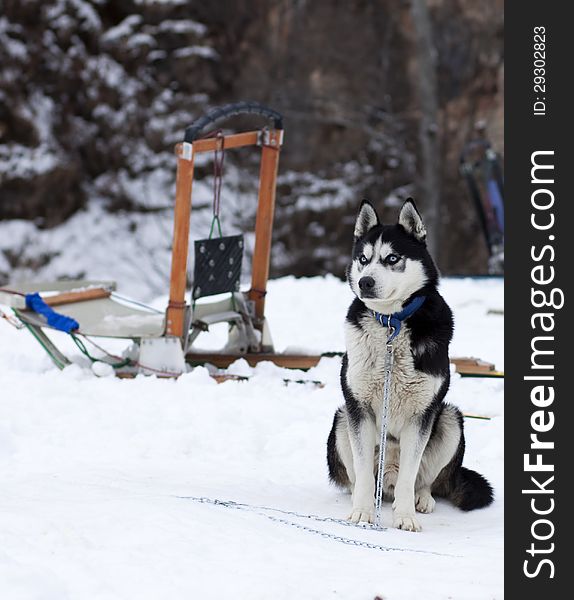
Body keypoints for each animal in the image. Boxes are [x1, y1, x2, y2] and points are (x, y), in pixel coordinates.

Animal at [328, 199, 496, 532]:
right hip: (341, 420)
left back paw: (422, 499)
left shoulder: (422, 414)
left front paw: (405, 516)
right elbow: (363, 473)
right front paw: (362, 512)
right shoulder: (357, 407)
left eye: (392, 258)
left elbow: (410, 474)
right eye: (363, 259)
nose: (365, 282)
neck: (392, 324)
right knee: (359, 478)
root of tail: (387, 482)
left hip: (450, 419)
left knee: (422, 480)